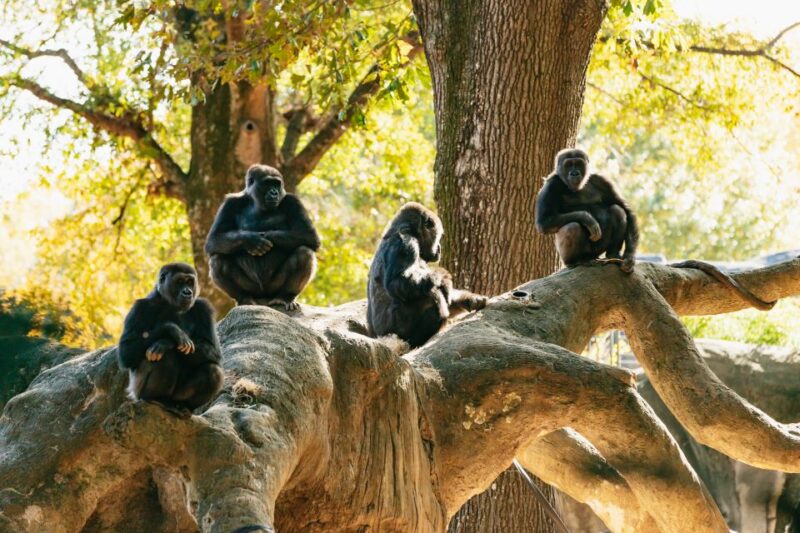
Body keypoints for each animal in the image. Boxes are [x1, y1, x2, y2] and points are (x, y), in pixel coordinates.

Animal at [118, 263, 224, 417]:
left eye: (190, 282)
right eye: (179, 282)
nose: (187, 292)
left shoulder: (204, 307)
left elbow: (214, 351)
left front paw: (168, 341)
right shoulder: (140, 307)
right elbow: (127, 352)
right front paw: (171, 330)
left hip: (178, 396)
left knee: (213, 371)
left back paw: (183, 405)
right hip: (138, 393)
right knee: (165, 356)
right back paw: (157, 399)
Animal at [205, 164, 321, 311]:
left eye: (276, 184)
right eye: (267, 183)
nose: (274, 192)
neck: (255, 201)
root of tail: (263, 298)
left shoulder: (293, 201)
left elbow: (308, 235)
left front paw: (264, 236)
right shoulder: (230, 203)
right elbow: (214, 240)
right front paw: (251, 240)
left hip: (273, 288)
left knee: (304, 253)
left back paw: (285, 297)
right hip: (253, 289)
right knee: (218, 259)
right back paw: (243, 298)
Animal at [367, 203, 488, 348]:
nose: (439, 248)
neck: (407, 229)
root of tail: (378, 337)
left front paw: (471, 299)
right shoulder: (407, 244)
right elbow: (397, 282)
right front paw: (441, 277)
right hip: (392, 332)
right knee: (431, 297)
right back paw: (416, 341)